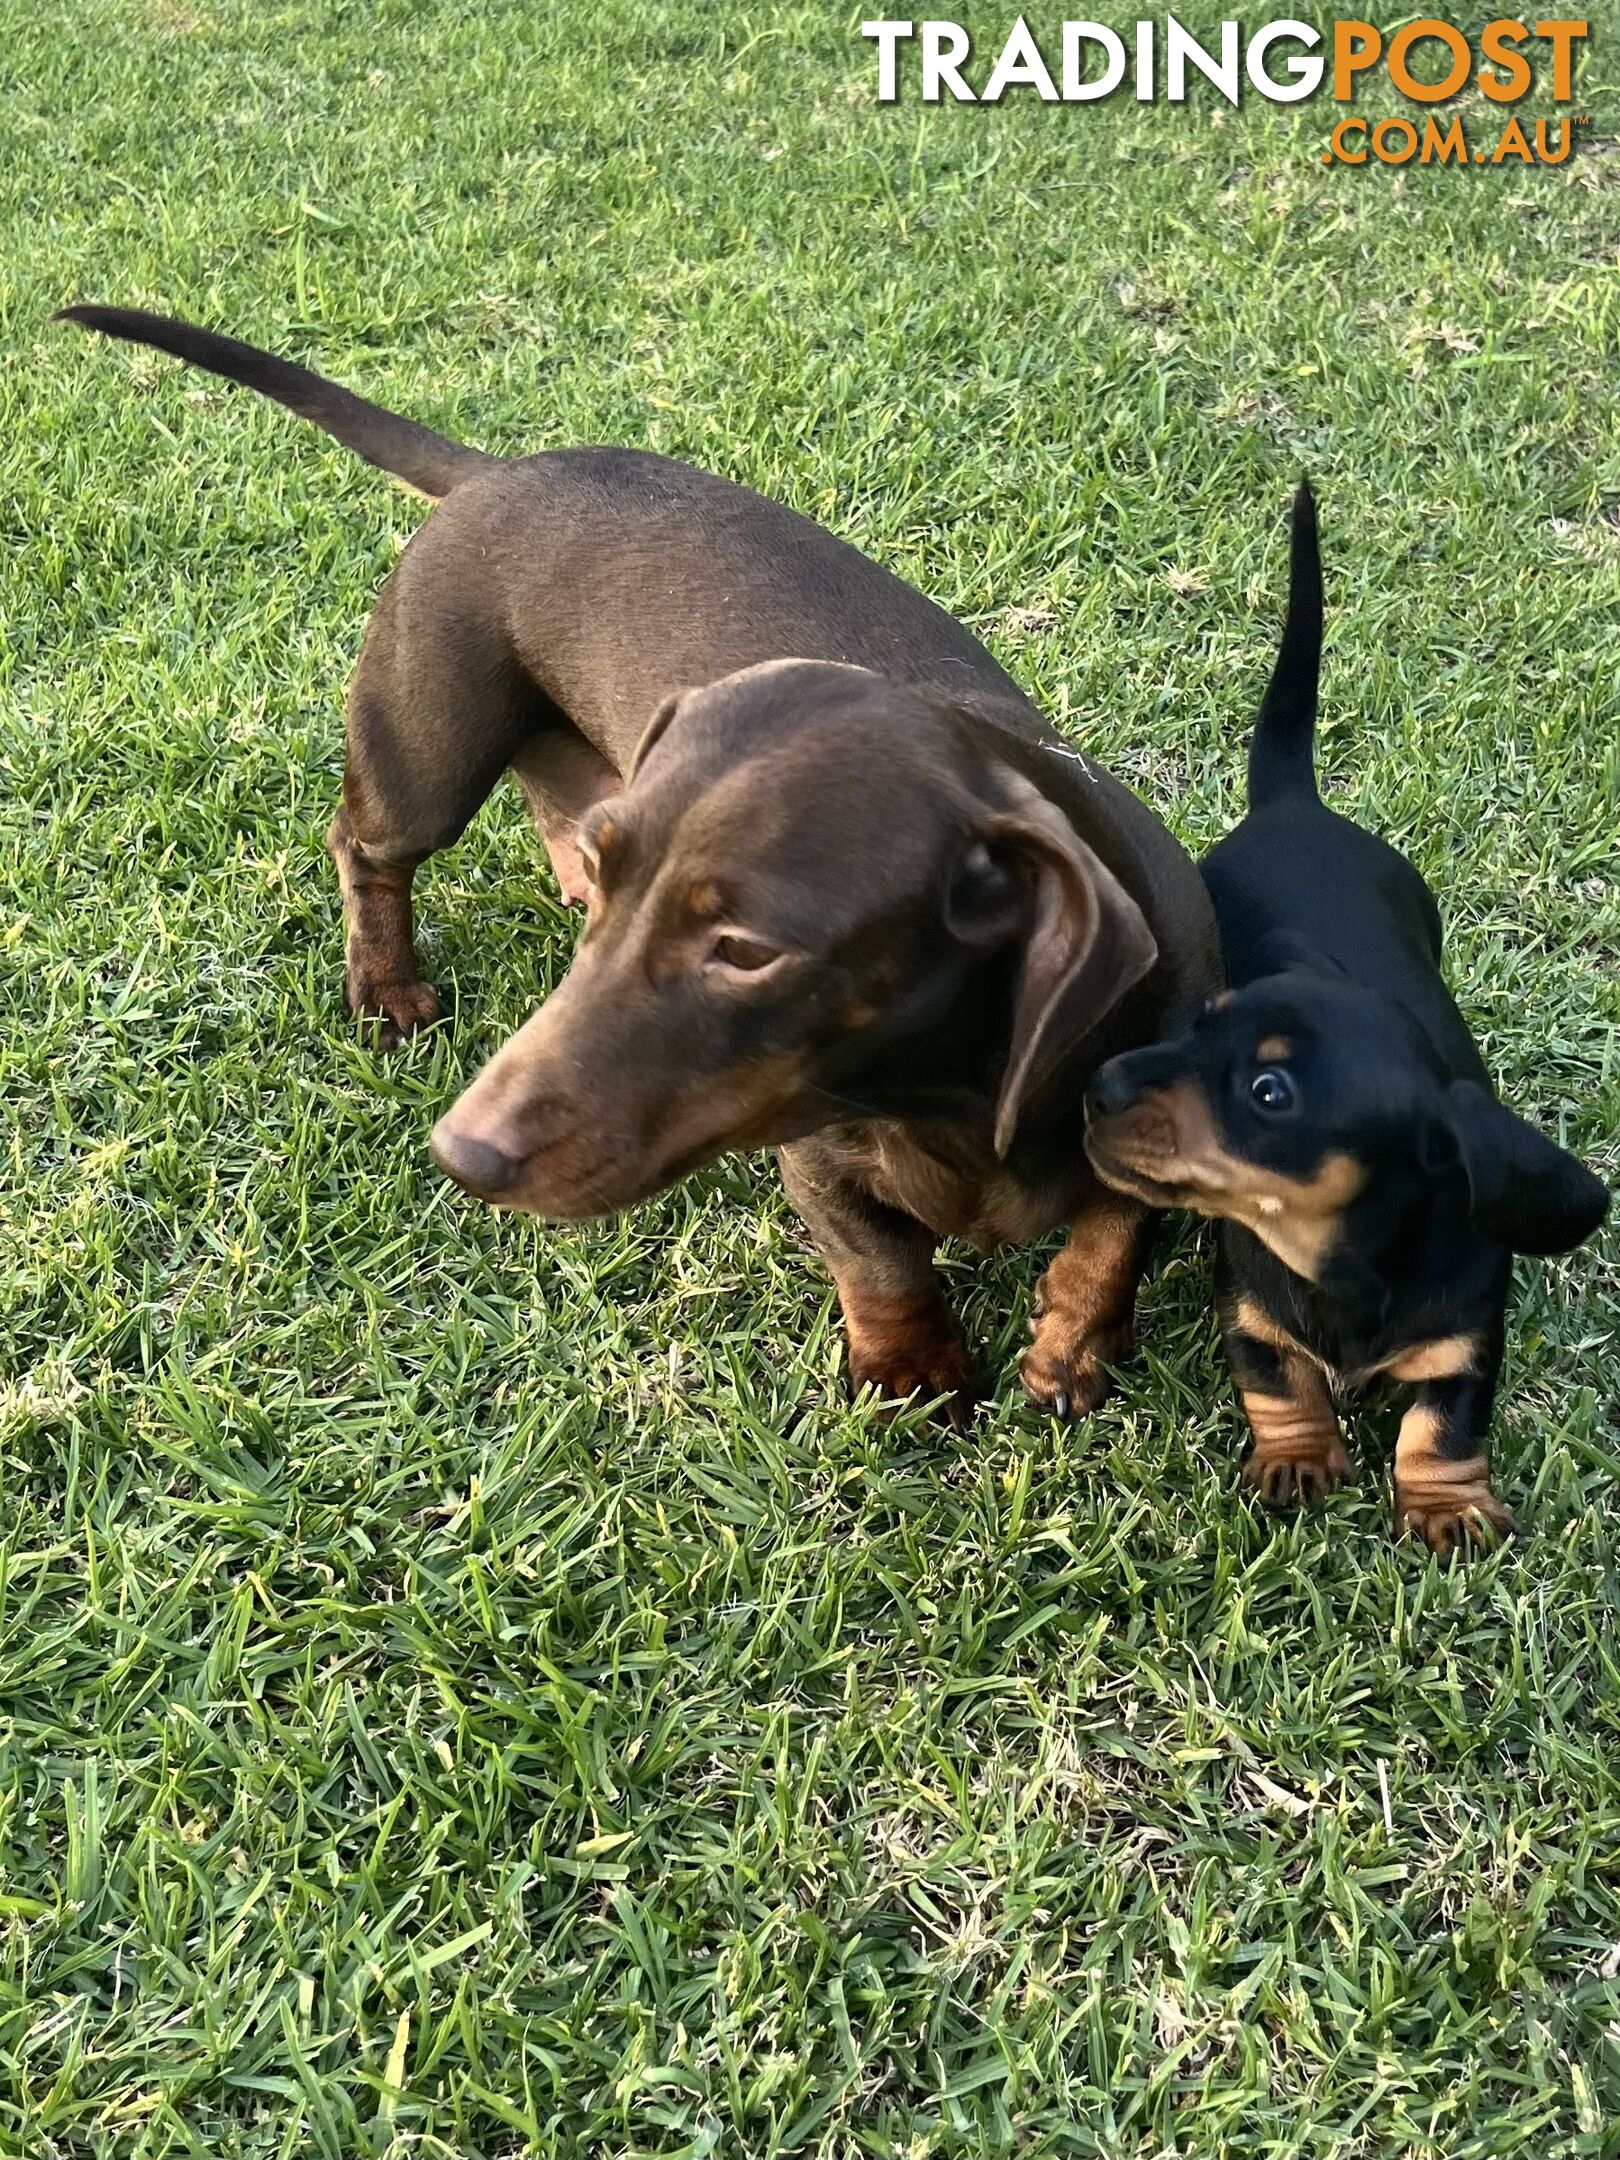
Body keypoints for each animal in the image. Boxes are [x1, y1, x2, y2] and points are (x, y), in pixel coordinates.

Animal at [1084, 481, 1607, 1546]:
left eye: (1269, 1089)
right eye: (1199, 1024)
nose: (1097, 1085)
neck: (1337, 1262)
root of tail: (1296, 804)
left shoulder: (1467, 1342)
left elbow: (1440, 1426)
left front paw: (1447, 1505)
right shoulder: (1250, 1317)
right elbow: (1279, 1381)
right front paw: (1298, 1457)